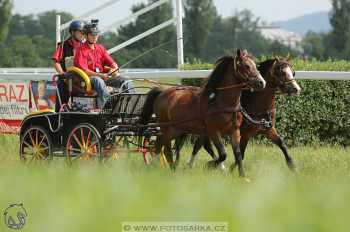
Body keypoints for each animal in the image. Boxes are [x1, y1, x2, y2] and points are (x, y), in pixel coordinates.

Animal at [139, 49, 266, 177]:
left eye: (255, 66)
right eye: (246, 66)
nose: (262, 83)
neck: (221, 102)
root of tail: (162, 91)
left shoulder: (234, 131)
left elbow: (238, 154)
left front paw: (242, 176)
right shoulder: (213, 131)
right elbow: (223, 154)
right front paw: (210, 165)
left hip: (177, 129)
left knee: (159, 146)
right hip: (167, 129)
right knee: (166, 149)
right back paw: (172, 171)